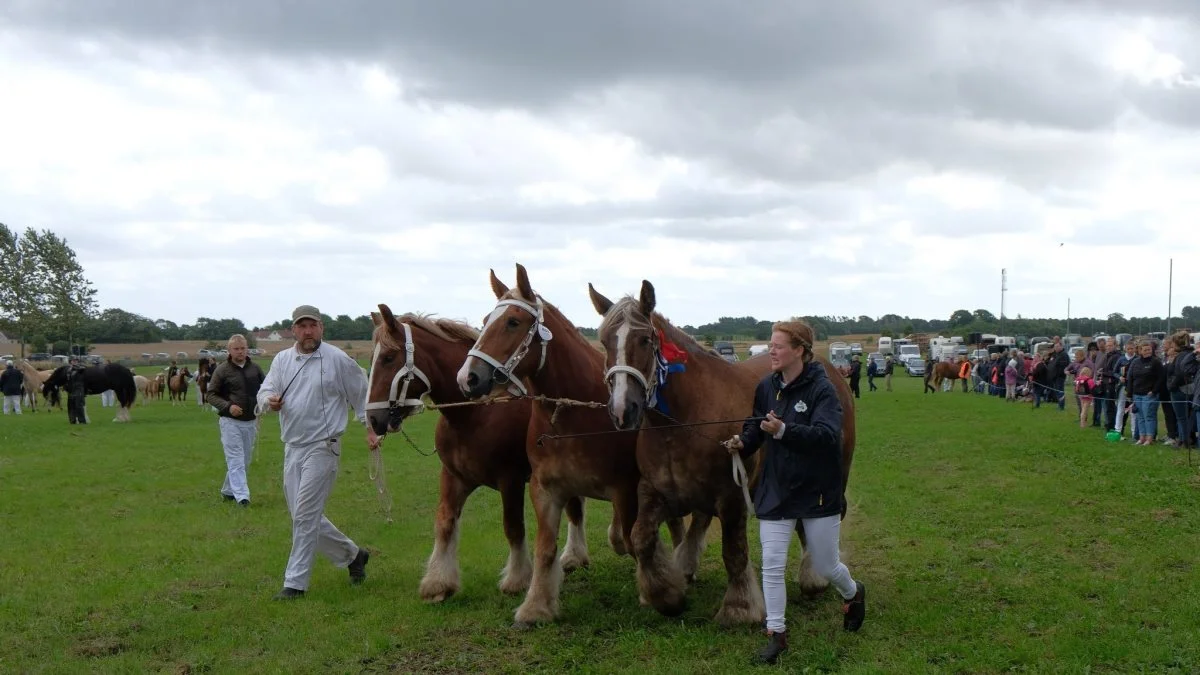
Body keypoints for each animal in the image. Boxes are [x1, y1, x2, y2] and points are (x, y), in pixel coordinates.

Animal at [357, 305, 597, 598]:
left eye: (389, 358)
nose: (374, 419)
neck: (475, 413)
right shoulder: (454, 477)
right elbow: (444, 523)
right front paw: (438, 582)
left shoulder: (511, 480)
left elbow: (513, 527)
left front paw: (517, 578)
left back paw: (574, 555)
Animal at [453, 264, 705, 624]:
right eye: (487, 319)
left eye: (513, 321)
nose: (468, 378)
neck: (571, 416)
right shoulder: (545, 489)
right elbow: (545, 548)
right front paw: (536, 606)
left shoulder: (625, 489)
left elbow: (630, 539)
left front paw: (654, 589)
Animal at [588, 281, 854, 619]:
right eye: (605, 341)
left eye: (645, 339)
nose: (623, 410)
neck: (681, 424)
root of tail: (831, 372)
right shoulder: (654, 491)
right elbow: (641, 538)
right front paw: (667, 595)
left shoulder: (732, 497)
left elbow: (734, 552)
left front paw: (740, 607)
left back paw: (814, 577)